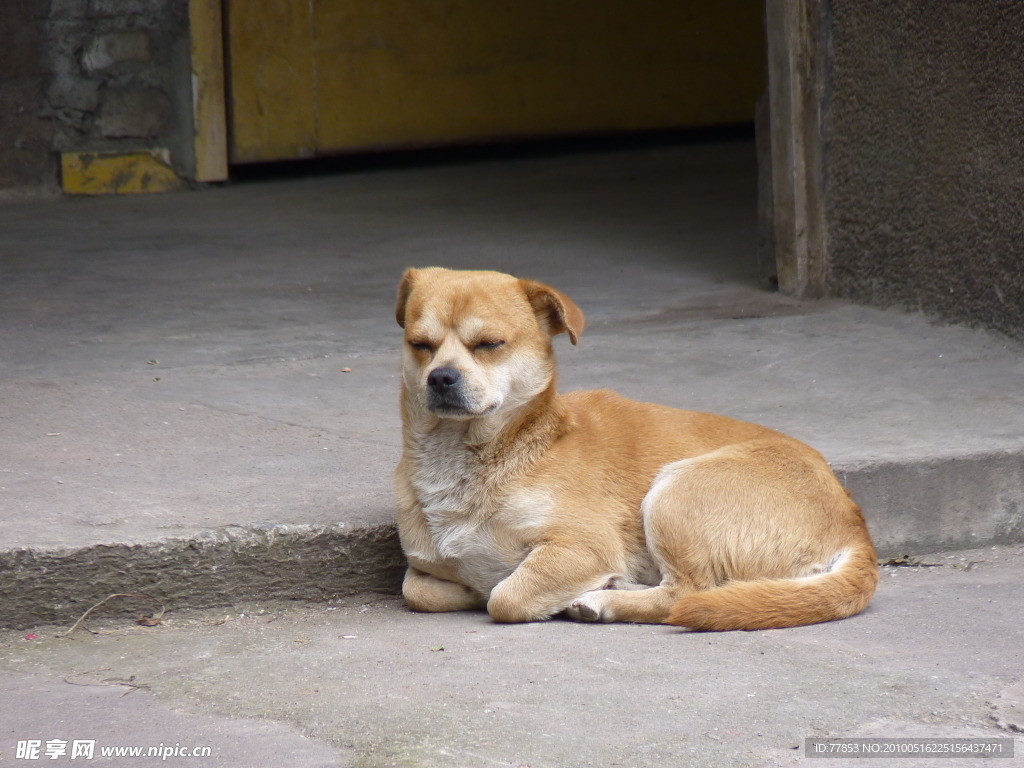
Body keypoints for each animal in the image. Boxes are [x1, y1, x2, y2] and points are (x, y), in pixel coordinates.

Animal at [395, 268, 876, 630]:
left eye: (489, 345)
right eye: (419, 345)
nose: (441, 377)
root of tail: (856, 526)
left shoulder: (583, 548)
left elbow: (505, 596)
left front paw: (498, 590)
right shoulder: (424, 569)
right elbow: (417, 588)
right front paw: (467, 586)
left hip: (675, 492)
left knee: (686, 593)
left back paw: (604, 601)